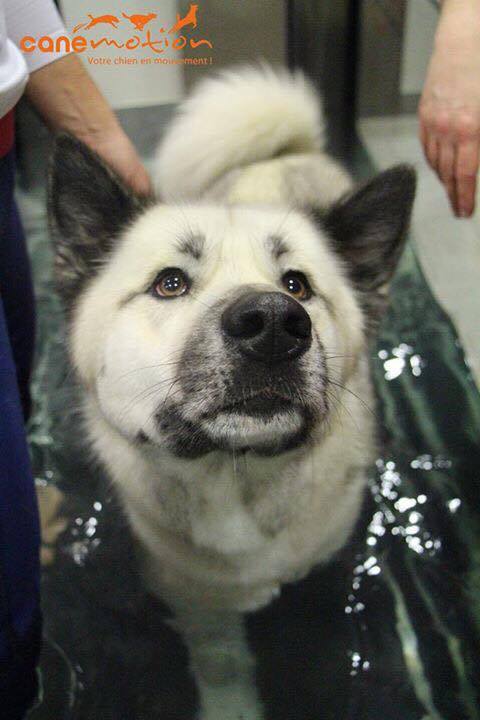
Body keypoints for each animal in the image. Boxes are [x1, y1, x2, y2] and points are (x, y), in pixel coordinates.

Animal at [49, 64, 416, 716]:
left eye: (298, 286)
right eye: (169, 283)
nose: (273, 324)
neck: (234, 476)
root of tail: (287, 152)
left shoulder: (323, 572)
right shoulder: (194, 599)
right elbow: (221, 663)